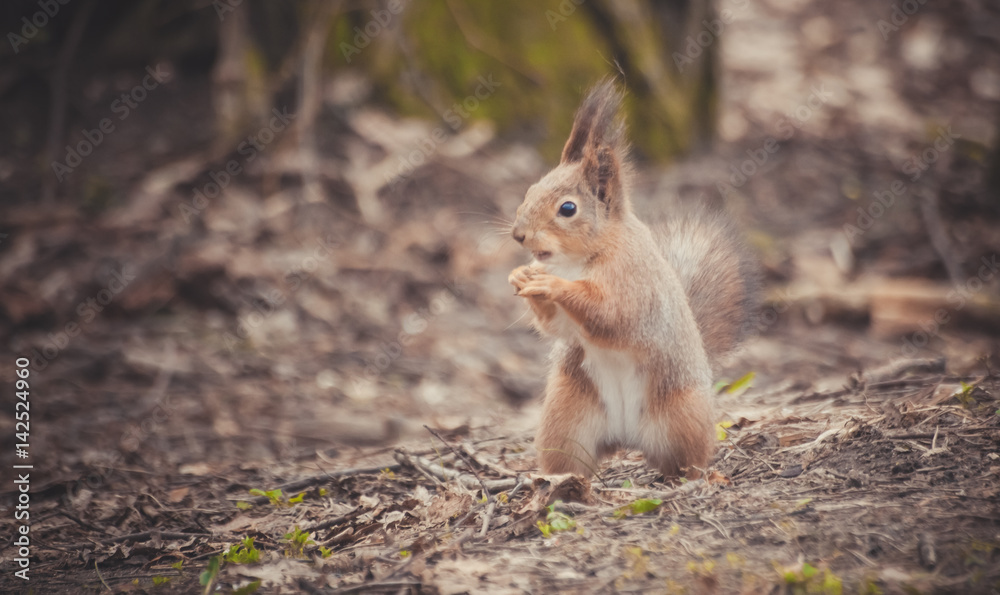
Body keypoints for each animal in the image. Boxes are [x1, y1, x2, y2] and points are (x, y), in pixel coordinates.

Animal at [508, 79, 756, 480]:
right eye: (530, 191)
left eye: (567, 209)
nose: (519, 235)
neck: (578, 262)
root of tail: (625, 438)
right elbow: (558, 327)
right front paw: (521, 276)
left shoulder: (633, 284)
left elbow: (612, 315)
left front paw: (553, 286)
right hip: (566, 418)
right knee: (570, 460)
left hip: (681, 416)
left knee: (688, 459)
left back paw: (701, 476)